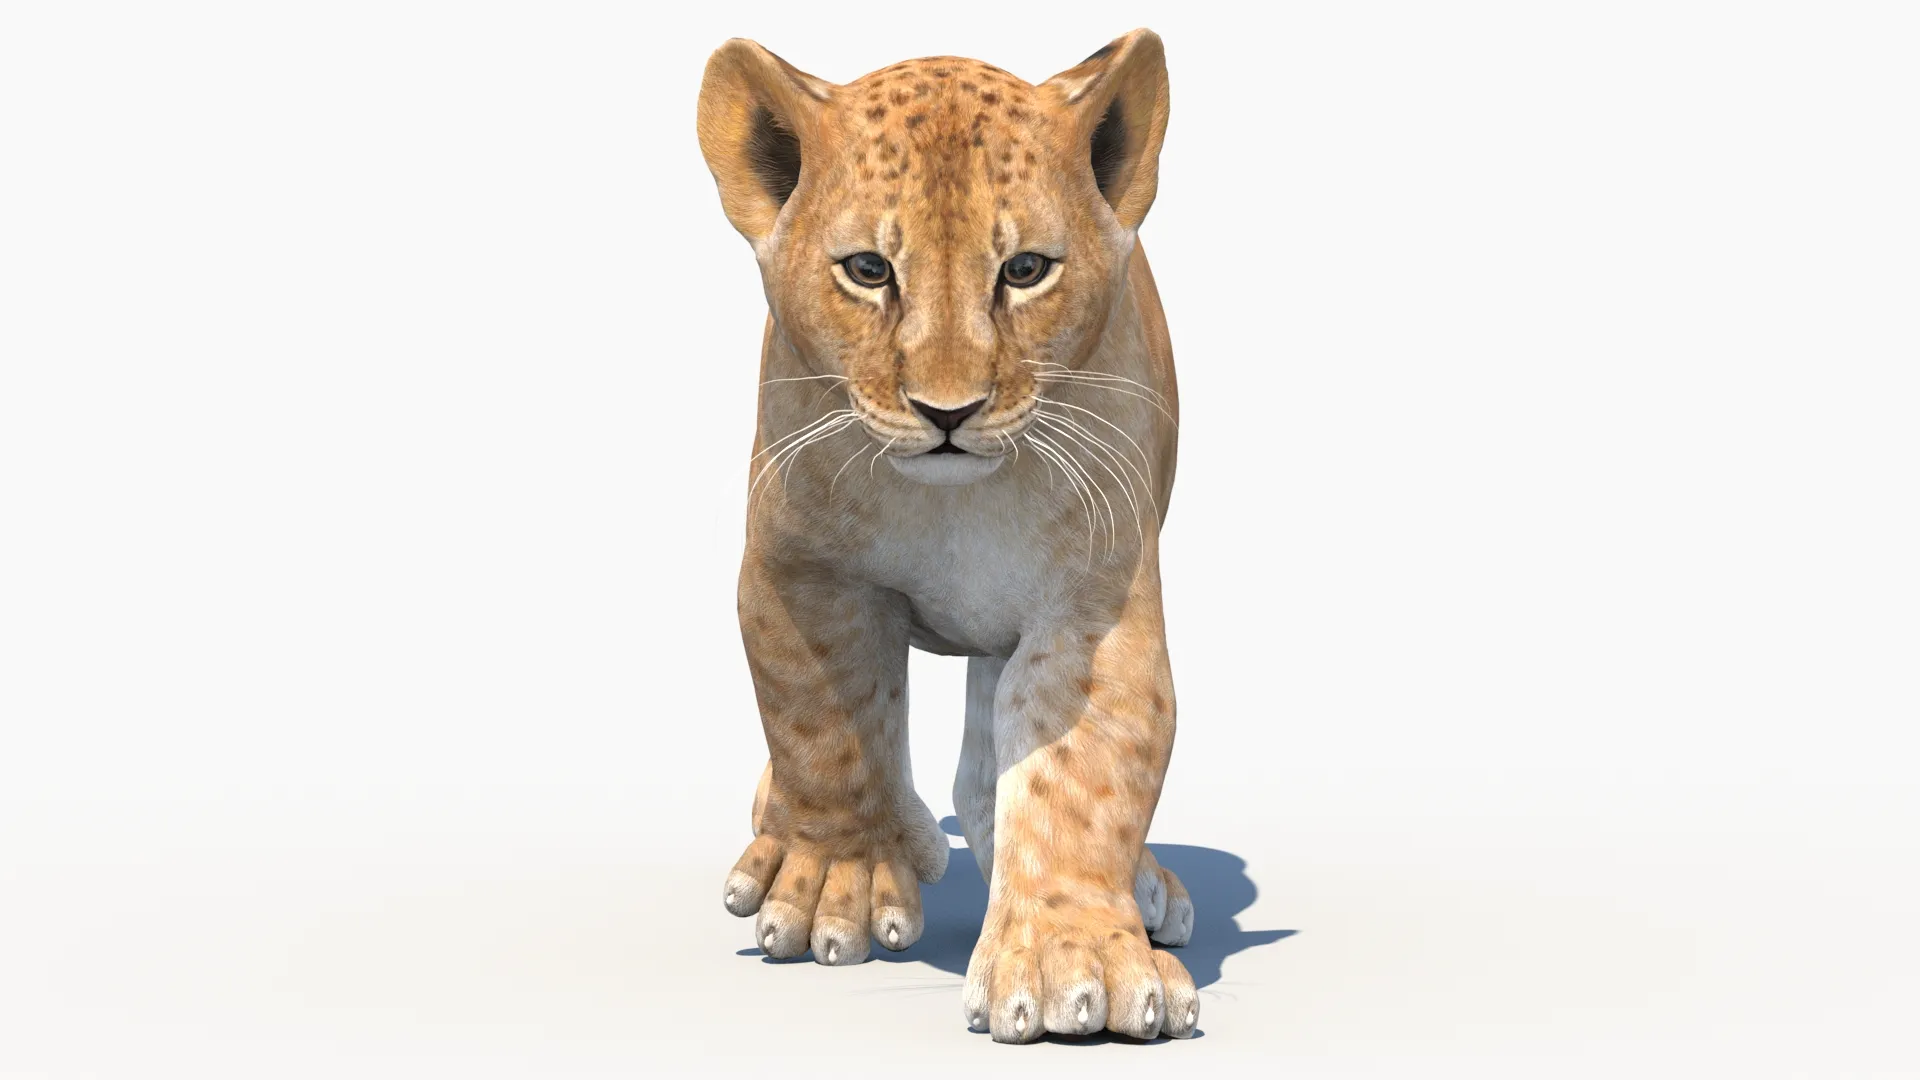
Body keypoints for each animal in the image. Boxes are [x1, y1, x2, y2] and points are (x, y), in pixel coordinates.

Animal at [696, 29, 1196, 1042]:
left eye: (1026, 270)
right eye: (868, 270)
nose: (948, 410)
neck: (955, 506)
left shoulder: (1094, 603)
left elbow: (1080, 770)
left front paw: (1078, 966)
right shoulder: (799, 569)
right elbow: (824, 720)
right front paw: (831, 885)